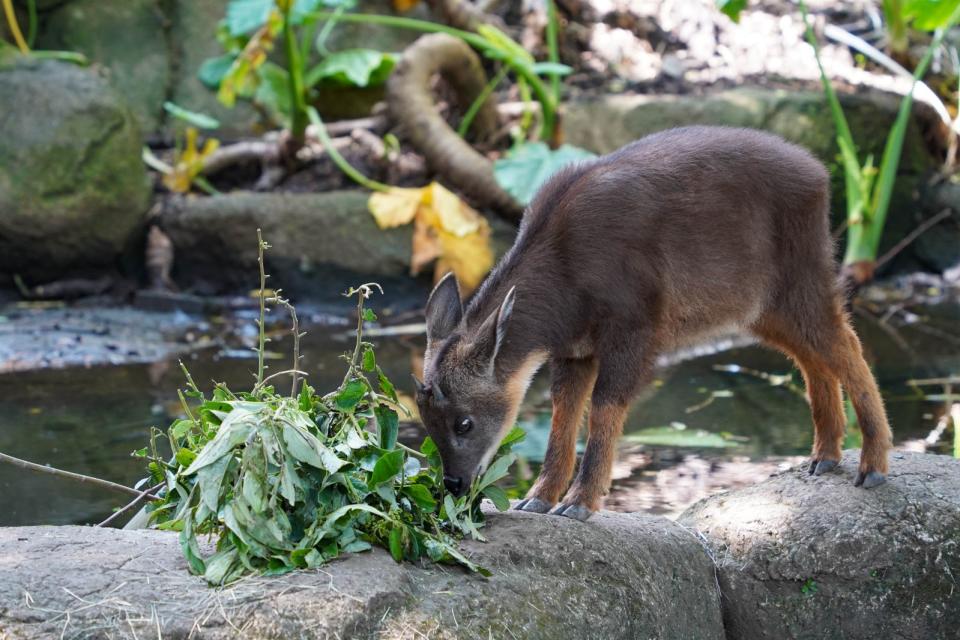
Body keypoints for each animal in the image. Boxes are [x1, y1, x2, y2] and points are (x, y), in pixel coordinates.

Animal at [416, 126, 896, 520]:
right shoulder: (575, 349)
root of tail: (820, 175)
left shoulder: (634, 330)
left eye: (464, 422)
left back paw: (872, 466)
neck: (565, 271)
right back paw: (824, 458)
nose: (454, 484)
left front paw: (579, 503)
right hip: (762, 309)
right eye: (427, 419)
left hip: (804, 280)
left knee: (846, 345)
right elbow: (563, 411)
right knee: (813, 358)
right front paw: (538, 498)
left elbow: (606, 407)